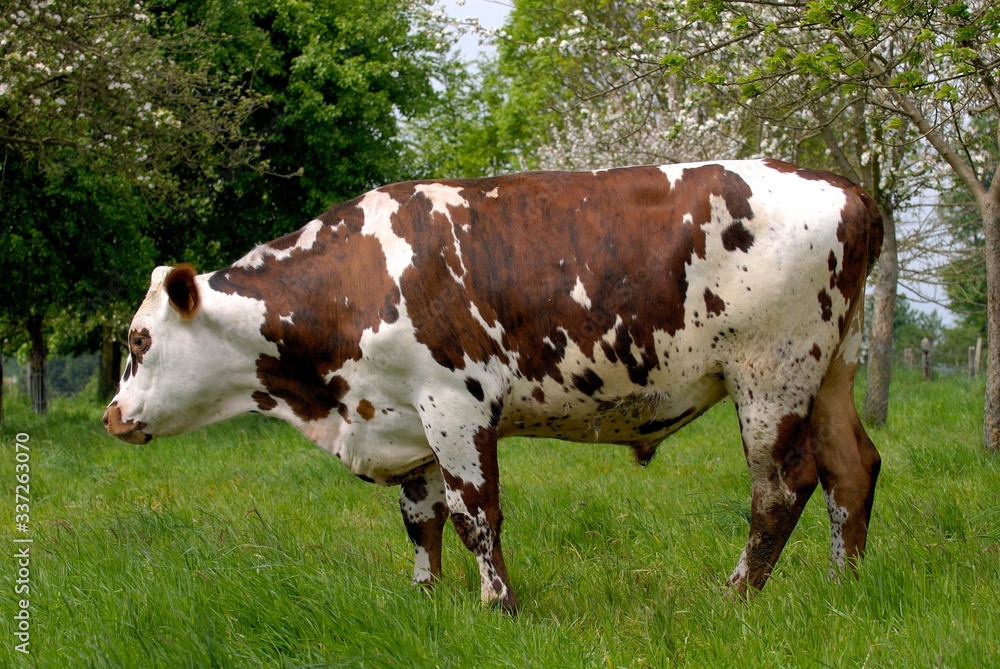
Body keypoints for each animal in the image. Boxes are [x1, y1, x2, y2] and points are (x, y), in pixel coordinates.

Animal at [103, 160, 884, 612]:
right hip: (831, 370)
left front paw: (497, 604)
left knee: (782, 485)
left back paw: (738, 594)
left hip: (771, 372)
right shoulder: (404, 417)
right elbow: (421, 517)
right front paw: (424, 598)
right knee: (852, 468)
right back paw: (842, 586)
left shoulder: (454, 404)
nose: (111, 415)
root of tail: (845, 187)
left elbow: (475, 512)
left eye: (138, 340)